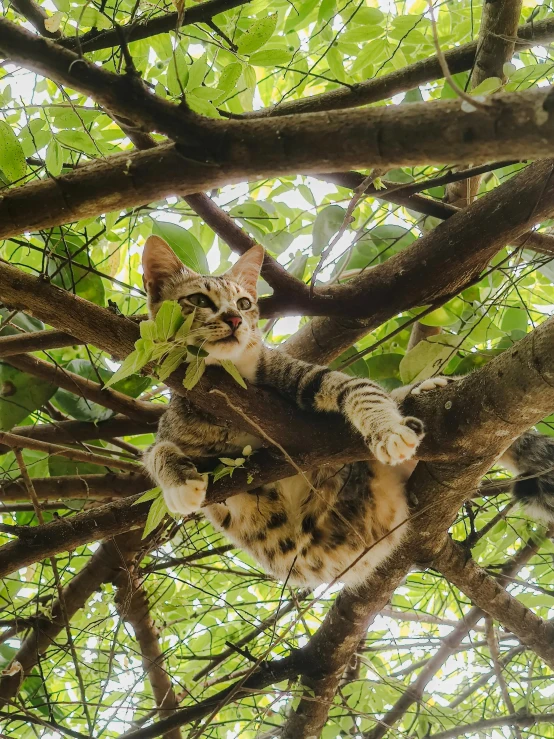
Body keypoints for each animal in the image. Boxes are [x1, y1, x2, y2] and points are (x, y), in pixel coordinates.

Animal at [140, 237, 552, 588]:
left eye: (243, 303)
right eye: (199, 300)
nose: (234, 320)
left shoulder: (307, 376)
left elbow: (361, 391)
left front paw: (387, 429)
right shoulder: (180, 429)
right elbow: (156, 452)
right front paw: (178, 482)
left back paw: (424, 392)